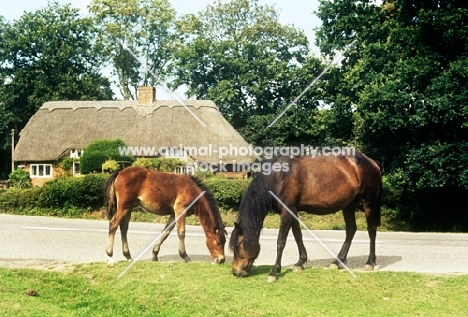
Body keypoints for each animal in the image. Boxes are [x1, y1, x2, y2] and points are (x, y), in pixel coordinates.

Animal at [229, 151, 382, 282]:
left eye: (238, 246)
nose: (235, 271)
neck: (278, 177)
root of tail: (371, 161)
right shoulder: (292, 211)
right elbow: (298, 235)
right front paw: (300, 263)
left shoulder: (286, 212)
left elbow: (281, 241)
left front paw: (274, 271)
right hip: (349, 206)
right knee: (351, 230)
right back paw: (338, 261)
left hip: (368, 203)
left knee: (371, 230)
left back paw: (369, 262)